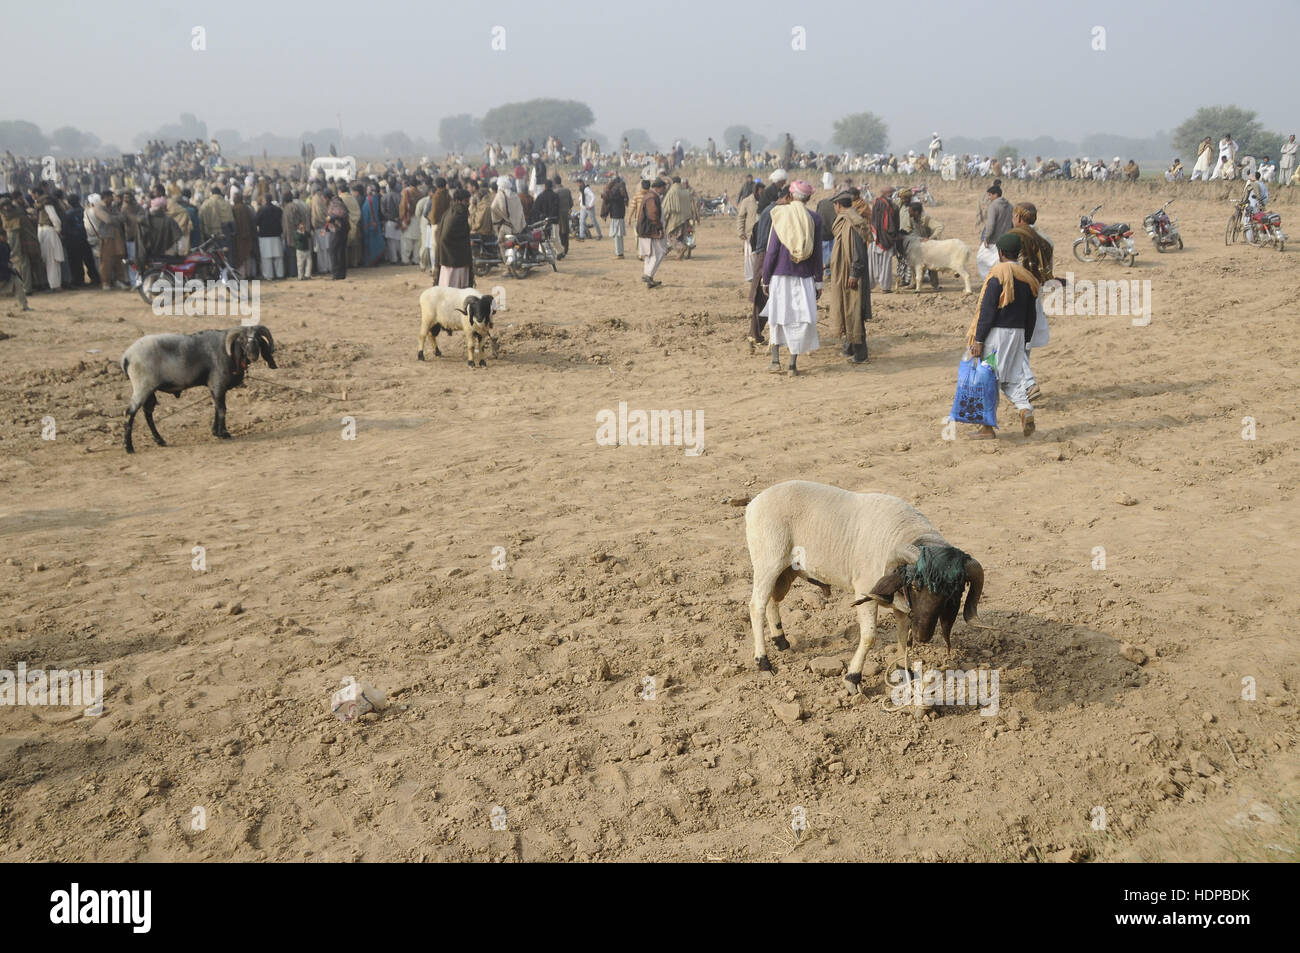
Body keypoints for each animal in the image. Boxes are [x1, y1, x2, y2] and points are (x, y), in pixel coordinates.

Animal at [743, 483, 982, 691]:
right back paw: (763, 662)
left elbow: (903, 636)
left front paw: (904, 670)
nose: (923, 635)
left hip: (786, 570)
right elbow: (869, 636)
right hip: (768, 561)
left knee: (773, 599)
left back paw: (780, 640)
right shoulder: (865, 591)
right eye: (915, 585)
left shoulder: (903, 605)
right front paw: (853, 678)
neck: (906, 532)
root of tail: (754, 503)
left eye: (953, 594)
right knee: (757, 606)